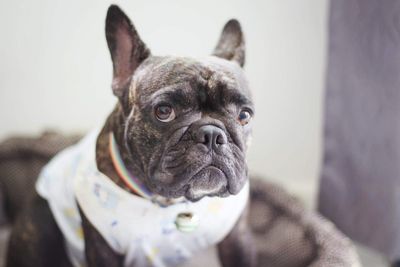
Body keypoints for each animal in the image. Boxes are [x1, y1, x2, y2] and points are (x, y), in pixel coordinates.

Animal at [5, 4, 256, 267]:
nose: (211, 135)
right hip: (42, 226)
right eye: (164, 111)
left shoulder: (238, 239)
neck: (173, 206)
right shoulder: (102, 250)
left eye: (244, 115)